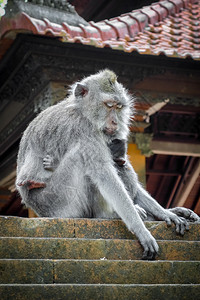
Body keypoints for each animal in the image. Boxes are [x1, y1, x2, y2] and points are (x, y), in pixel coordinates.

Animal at [15, 69, 191, 260]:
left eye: (119, 107)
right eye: (109, 105)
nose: (115, 122)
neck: (82, 111)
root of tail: (37, 209)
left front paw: (165, 213)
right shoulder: (84, 130)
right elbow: (104, 175)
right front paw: (141, 230)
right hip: (57, 202)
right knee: (82, 159)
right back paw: (108, 214)